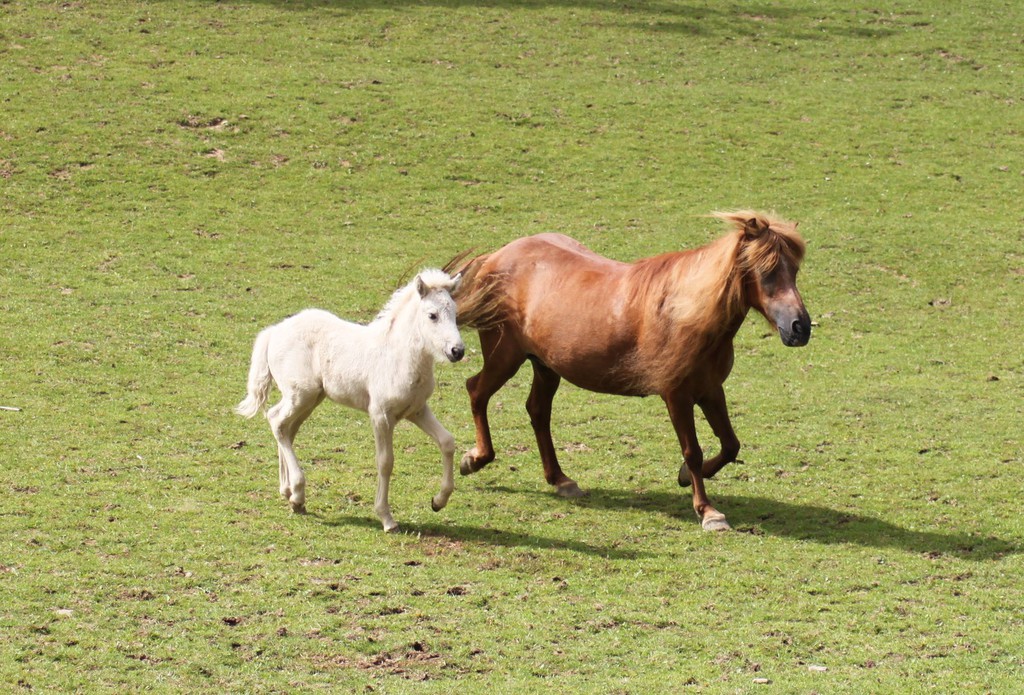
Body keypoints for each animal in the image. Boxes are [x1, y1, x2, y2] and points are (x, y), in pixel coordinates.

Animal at [235, 269, 465, 533]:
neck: (398, 356)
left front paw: (438, 501)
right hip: (301, 394)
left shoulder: (416, 410)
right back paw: (298, 494)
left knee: (285, 428)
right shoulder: (380, 415)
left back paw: (288, 492)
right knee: (276, 420)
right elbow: (385, 462)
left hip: (311, 399)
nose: (457, 351)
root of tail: (274, 330)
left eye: (455, 312)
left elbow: (447, 442)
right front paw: (386, 518)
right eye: (432, 315)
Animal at [445, 211, 810, 531]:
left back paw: (561, 480)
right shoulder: (676, 395)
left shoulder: (710, 389)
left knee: (537, 411)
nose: (800, 327)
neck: (686, 312)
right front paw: (708, 512)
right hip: (504, 358)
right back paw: (475, 459)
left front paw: (684, 478)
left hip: (545, 365)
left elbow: (730, 444)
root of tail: (496, 256)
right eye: (766, 271)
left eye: (794, 269)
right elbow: (693, 451)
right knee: (476, 390)